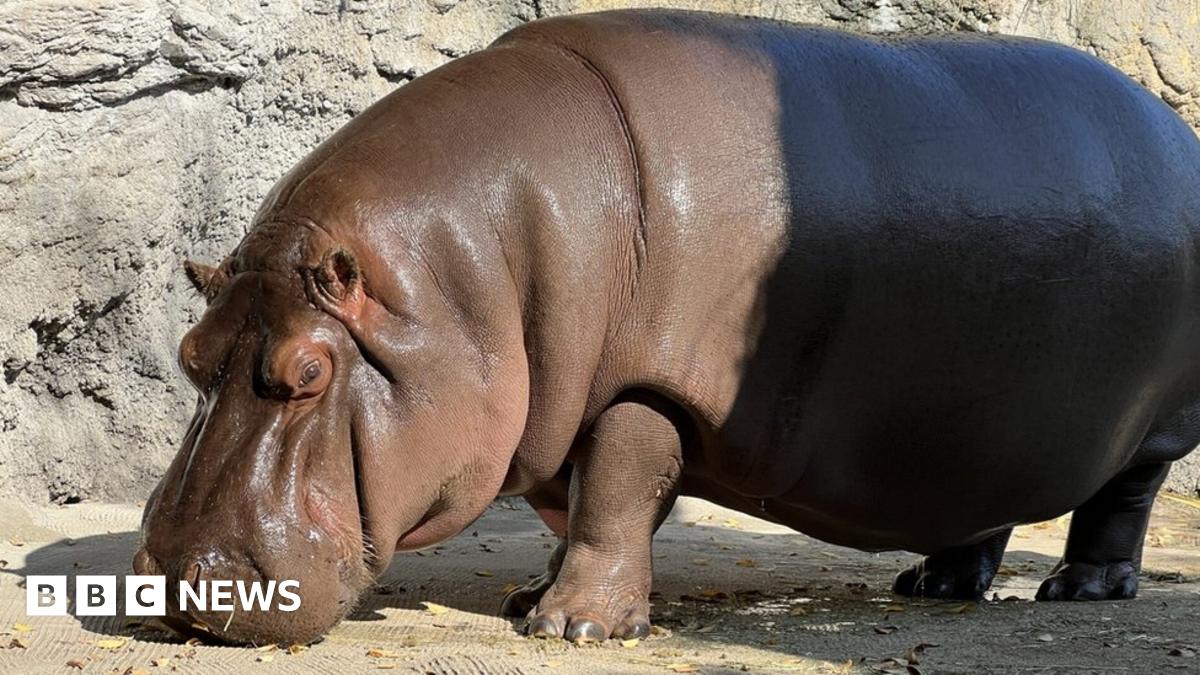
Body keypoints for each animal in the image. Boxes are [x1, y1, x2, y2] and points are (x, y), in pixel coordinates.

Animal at [135, 9, 1200, 645]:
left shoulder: (643, 387)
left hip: (1154, 428)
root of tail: (1178, 131)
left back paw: (1081, 590)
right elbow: (580, 509)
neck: (468, 279)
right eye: (189, 356)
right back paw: (935, 588)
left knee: (1120, 500)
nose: (177, 582)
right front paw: (534, 600)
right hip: (989, 429)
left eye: (310, 372)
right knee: (982, 504)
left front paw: (569, 628)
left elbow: (615, 491)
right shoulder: (561, 398)